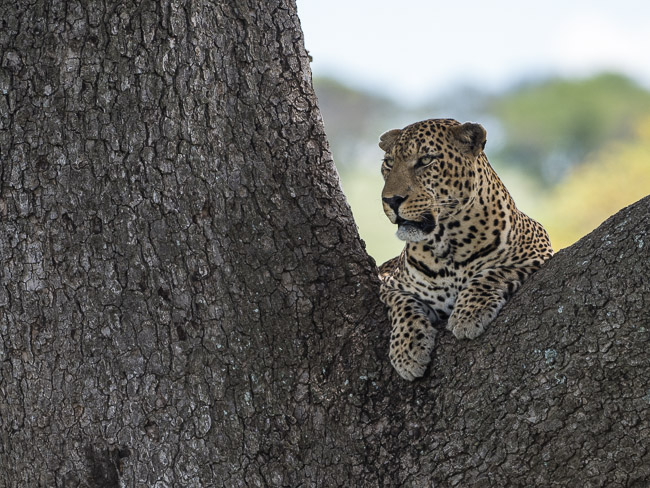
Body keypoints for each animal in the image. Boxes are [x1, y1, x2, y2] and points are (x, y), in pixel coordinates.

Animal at [378, 118, 553, 381]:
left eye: (425, 160)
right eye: (388, 163)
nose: (391, 200)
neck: (444, 244)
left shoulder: (538, 250)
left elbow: (492, 273)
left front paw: (468, 314)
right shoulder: (389, 283)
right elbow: (402, 304)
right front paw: (407, 351)